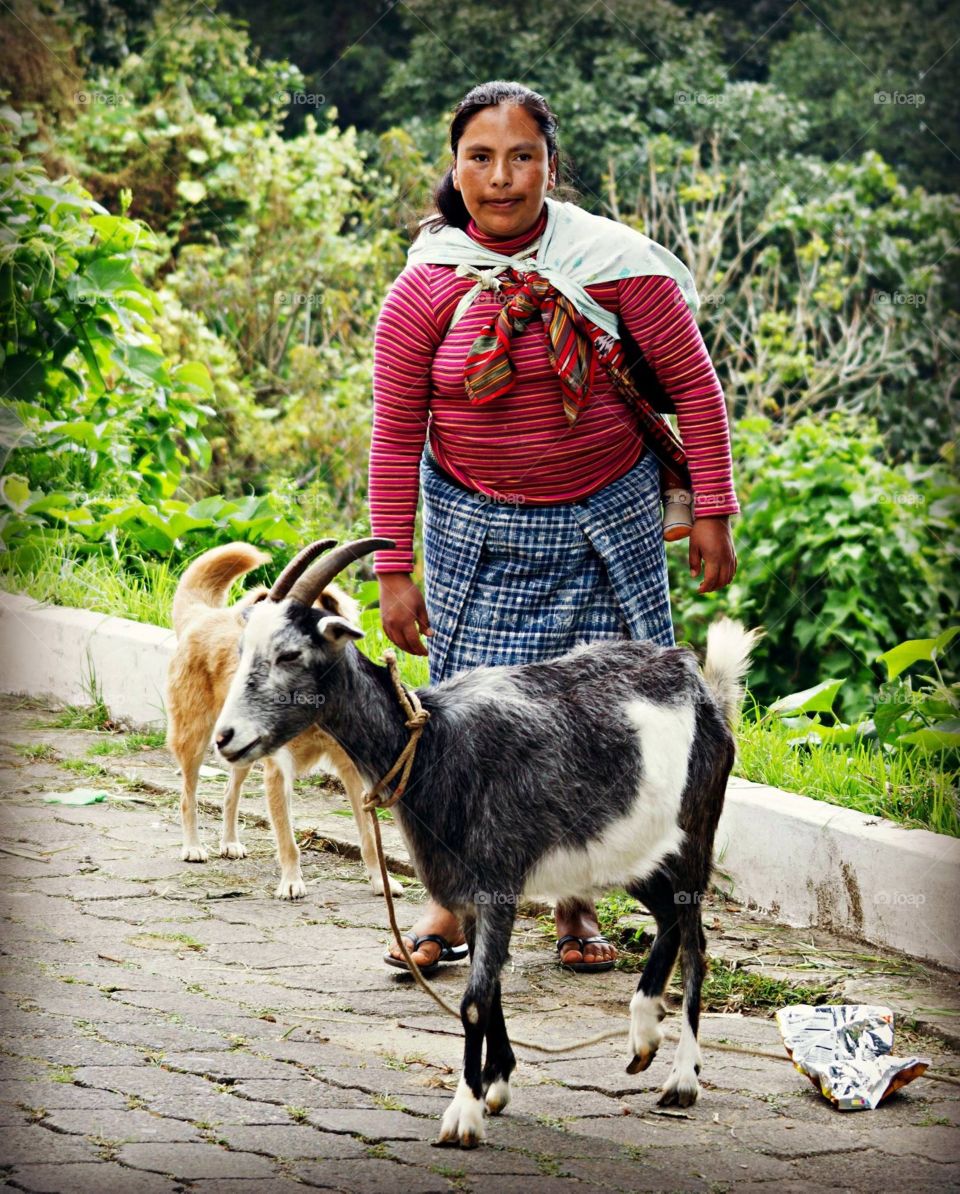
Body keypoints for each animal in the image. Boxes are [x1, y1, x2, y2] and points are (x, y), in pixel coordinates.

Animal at [216, 539, 759, 1146]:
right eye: (242, 650)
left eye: (289, 654)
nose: (226, 738)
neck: (433, 742)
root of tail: (702, 688)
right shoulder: (467, 894)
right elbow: (490, 988)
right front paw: (496, 1083)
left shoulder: (498, 881)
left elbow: (473, 1002)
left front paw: (464, 1113)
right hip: (632, 848)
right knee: (669, 921)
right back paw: (643, 1036)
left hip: (695, 829)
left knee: (695, 938)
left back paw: (681, 1074)